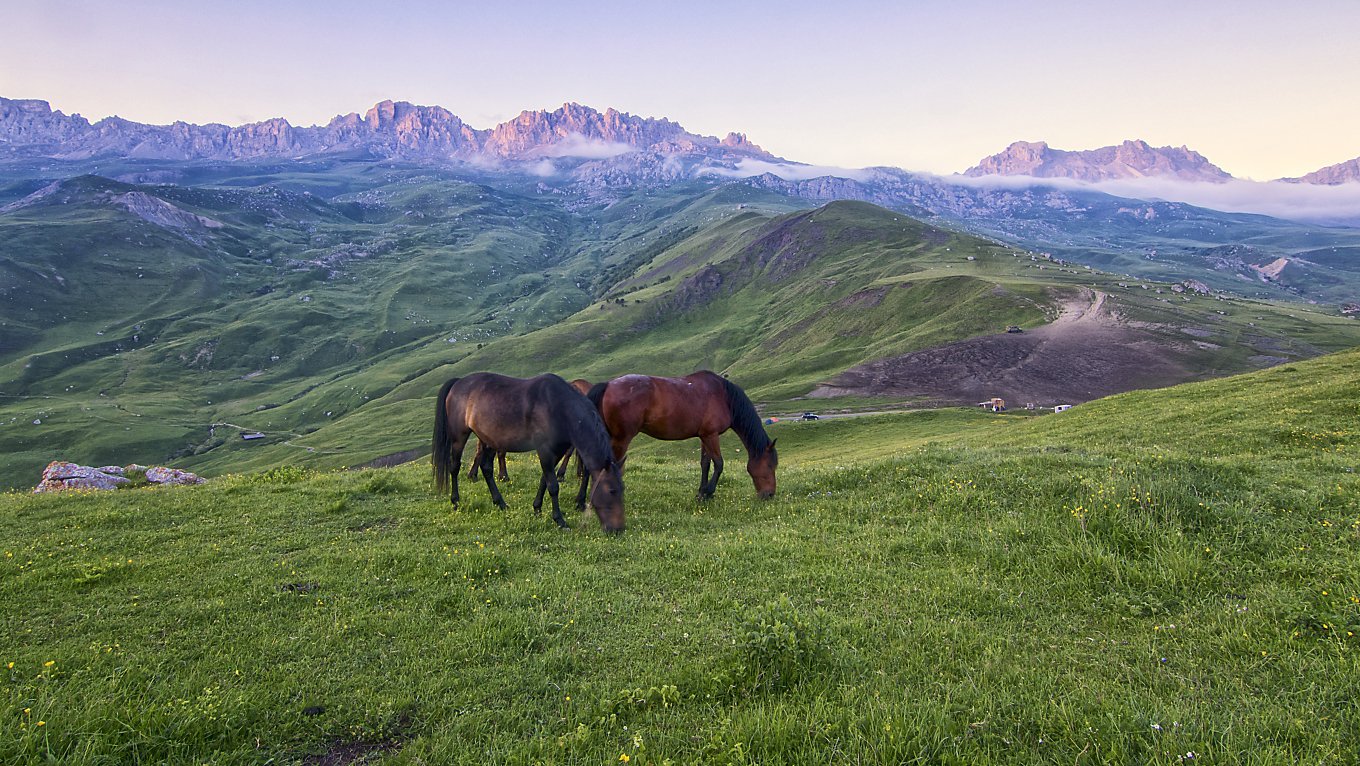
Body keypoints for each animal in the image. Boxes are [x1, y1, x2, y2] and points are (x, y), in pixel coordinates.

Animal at [435, 372, 625, 533]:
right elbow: (553, 486)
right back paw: (455, 501)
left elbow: (544, 480)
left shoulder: (556, 451)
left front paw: (537, 509)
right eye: (611, 491)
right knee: (454, 467)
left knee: (486, 467)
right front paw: (559, 520)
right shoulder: (545, 450)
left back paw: (500, 503)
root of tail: (458, 382)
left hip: (488, 439)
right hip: (459, 437)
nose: (618, 529)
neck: (560, 407)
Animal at [579, 372, 783, 503]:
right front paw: (708, 493)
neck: (723, 396)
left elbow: (705, 463)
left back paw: (581, 500)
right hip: (621, 439)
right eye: (770, 465)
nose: (769, 495)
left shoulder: (705, 436)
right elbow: (718, 464)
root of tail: (608, 385)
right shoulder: (712, 435)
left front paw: (701, 493)